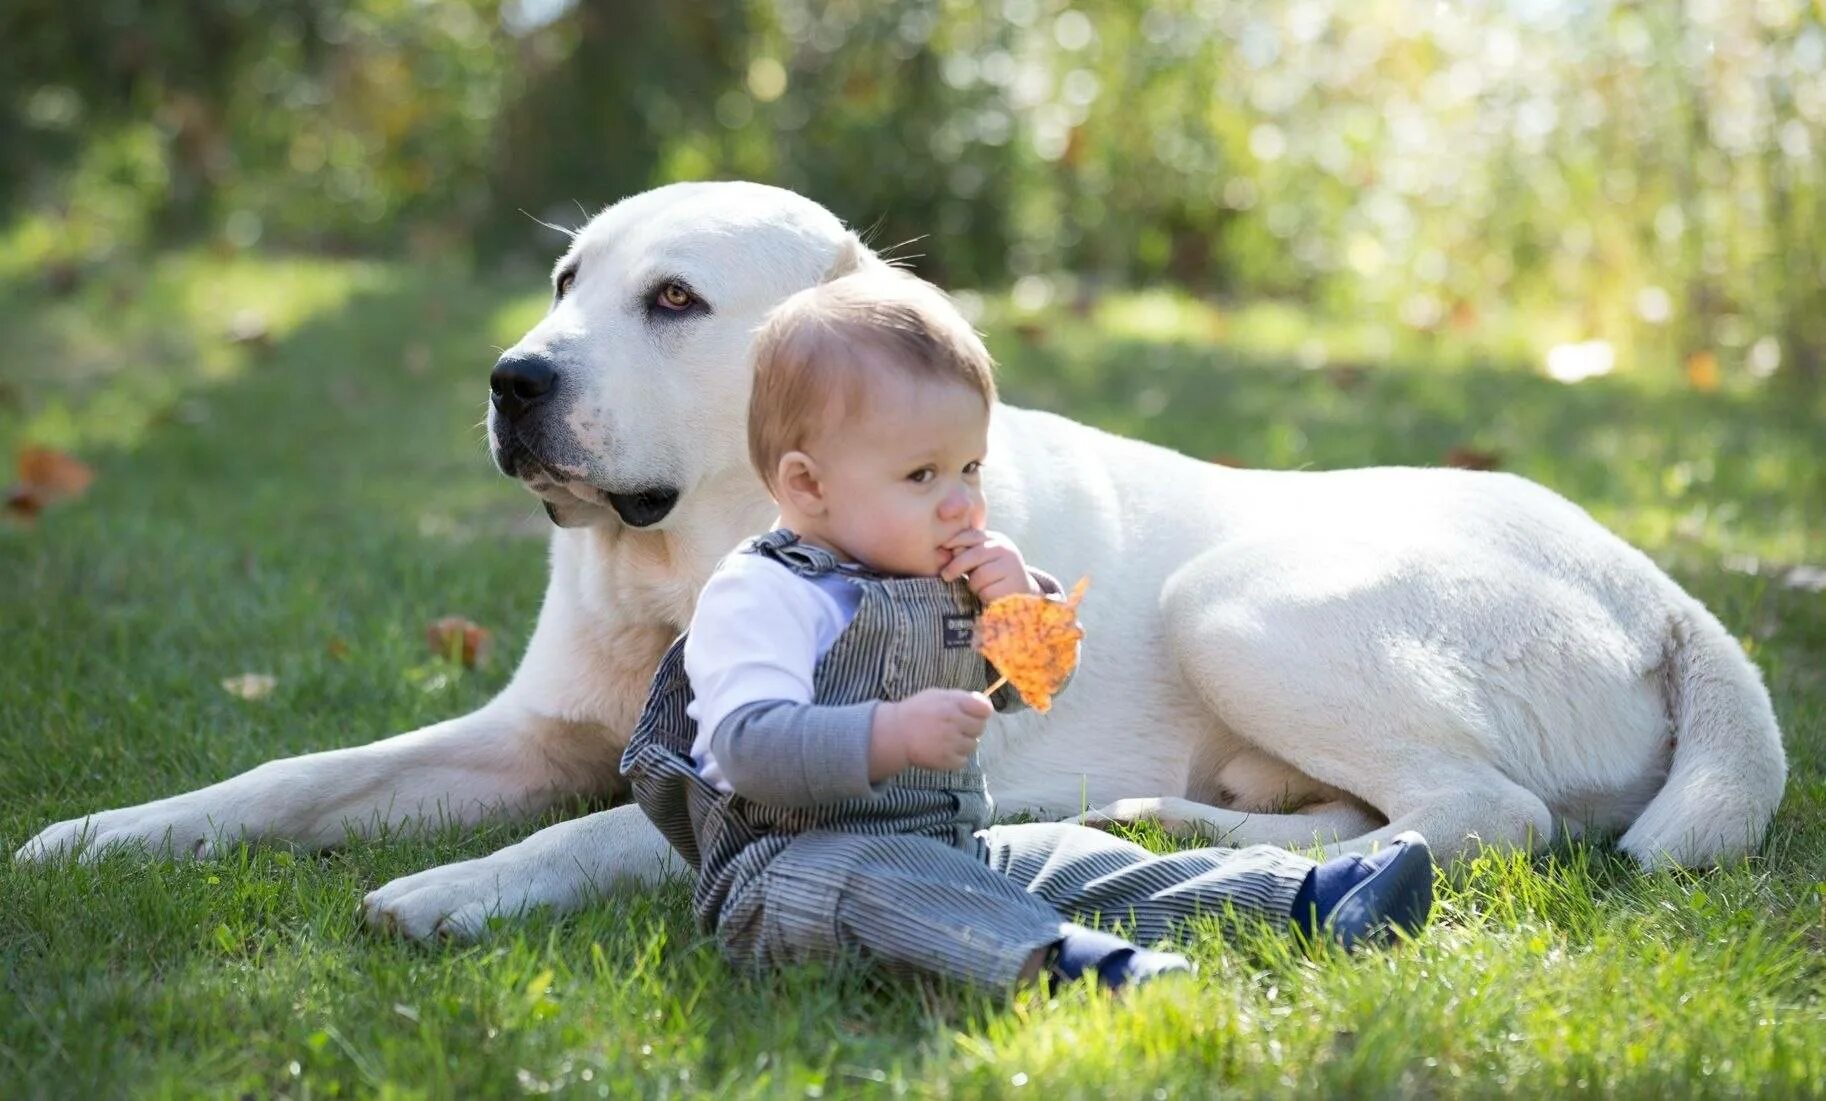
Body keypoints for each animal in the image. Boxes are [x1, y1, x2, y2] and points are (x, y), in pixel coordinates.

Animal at [14, 180, 1782, 942]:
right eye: (571, 281)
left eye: (673, 301)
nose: (515, 380)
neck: (697, 554)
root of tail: (1666, 591)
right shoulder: (520, 732)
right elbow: (290, 776)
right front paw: (101, 834)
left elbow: (596, 837)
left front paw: (457, 887)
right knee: (1375, 813)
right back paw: (1165, 817)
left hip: (1244, 597)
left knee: (1485, 815)